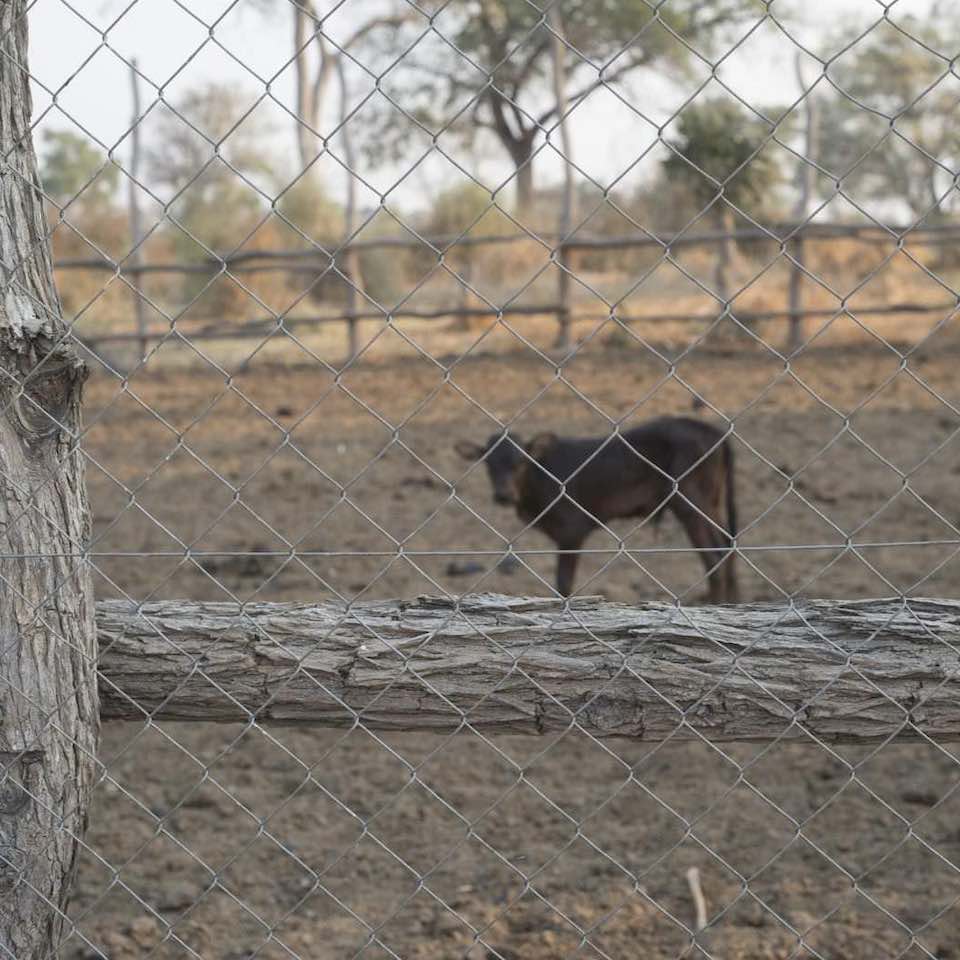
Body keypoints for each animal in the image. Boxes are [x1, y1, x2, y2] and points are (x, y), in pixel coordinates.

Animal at [454, 418, 740, 604]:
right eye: (488, 463)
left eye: (520, 462)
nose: (503, 495)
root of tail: (714, 432)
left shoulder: (571, 530)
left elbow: (564, 583)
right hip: (713, 502)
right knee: (727, 545)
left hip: (689, 502)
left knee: (713, 557)